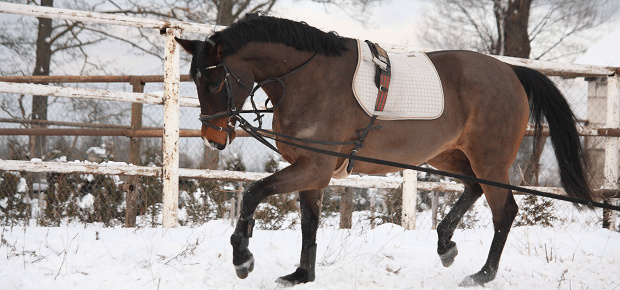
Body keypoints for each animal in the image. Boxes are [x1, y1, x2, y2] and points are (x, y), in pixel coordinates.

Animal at [173, 12, 592, 286]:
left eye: (212, 82)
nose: (213, 138)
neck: (307, 79)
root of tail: (510, 71)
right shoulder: (310, 171)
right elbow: (309, 222)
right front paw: (301, 274)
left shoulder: (313, 167)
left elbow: (254, 192)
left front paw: (242, 256)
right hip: (449, 154)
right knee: (472, 189)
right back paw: (446, 245)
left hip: (490, 160)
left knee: (504, 210)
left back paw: (483, 274)